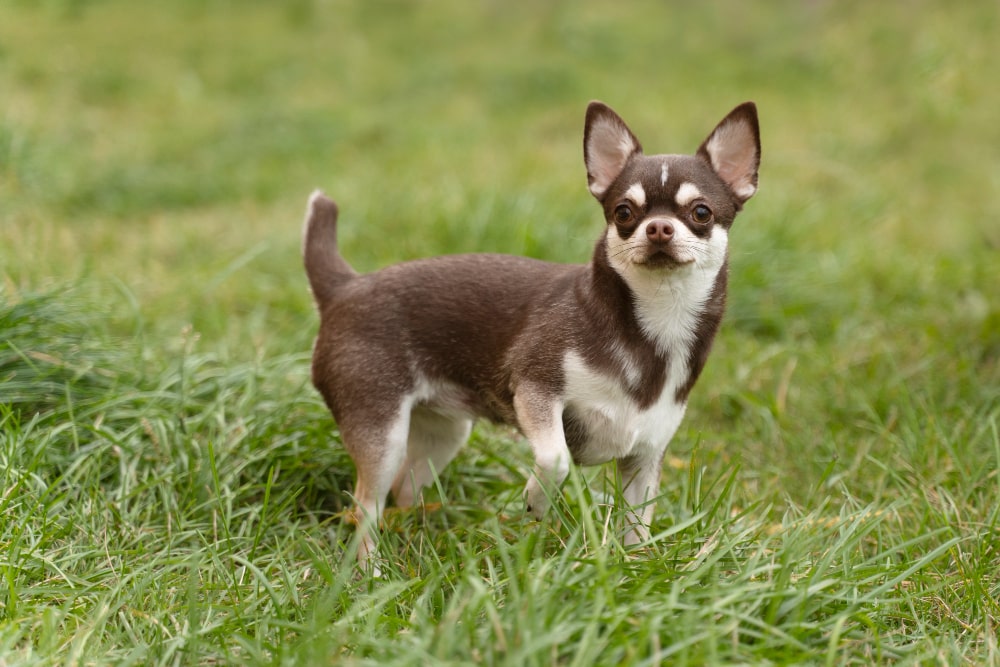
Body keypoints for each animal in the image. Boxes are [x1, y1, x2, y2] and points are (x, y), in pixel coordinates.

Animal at [302, 100, 756, 568]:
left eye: (701, 212)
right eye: (624, 213)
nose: (659, 227)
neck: (653, 326)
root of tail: (344, 288)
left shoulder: (644, 459)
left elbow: (636, 528)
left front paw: (635, 569)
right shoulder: (536, 389)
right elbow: (555, 457)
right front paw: (538, 502)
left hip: (442, 437)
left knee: (402, 493)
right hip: (383, 433)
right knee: (364, 507)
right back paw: (371, 570)